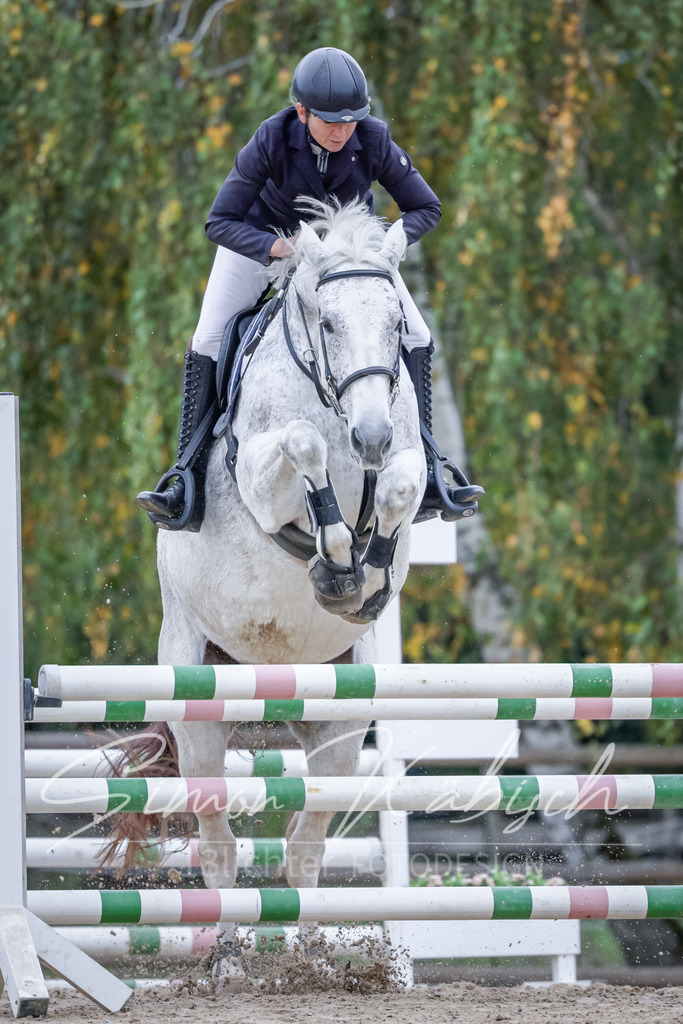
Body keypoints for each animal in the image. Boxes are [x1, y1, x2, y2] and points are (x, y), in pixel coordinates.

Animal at [121, 199, 425, 968]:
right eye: (327, 322)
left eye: (397, 323)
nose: (371, 436)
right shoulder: (263, 475)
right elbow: (302, 444)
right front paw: (335, 551)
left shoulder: (405, 462)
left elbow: (401, 487)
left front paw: (365, 572)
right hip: (198, 698)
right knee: (220, 843)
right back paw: (228, 955)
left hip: (339, 718)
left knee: (305, 845)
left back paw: (310, 953)